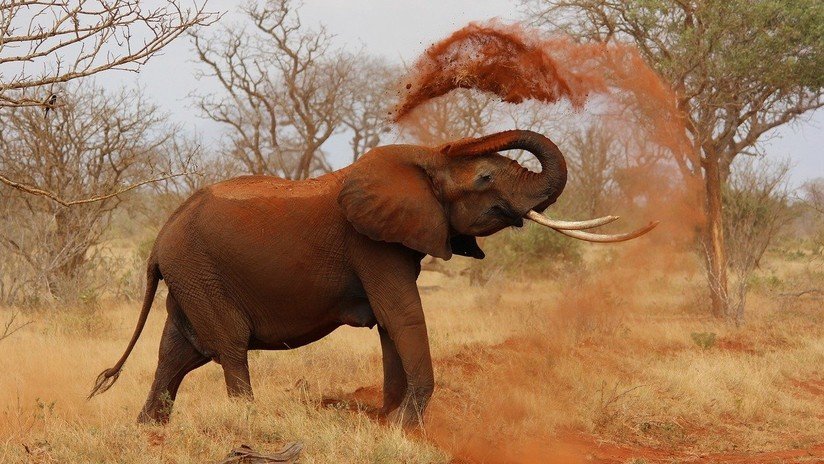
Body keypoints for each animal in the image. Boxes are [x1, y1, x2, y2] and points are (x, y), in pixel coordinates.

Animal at [89, 129, 655, 427]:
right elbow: (401, 314)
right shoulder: (371, 243)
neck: (423, 161)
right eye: (486, 177)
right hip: (200, 271)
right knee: (226, 345)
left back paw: (149, 433)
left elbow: (390, 323)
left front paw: (388, 421)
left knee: (178, 352)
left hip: (190, 276)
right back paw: (249, 424)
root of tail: (160, 238)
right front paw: (406, 426)